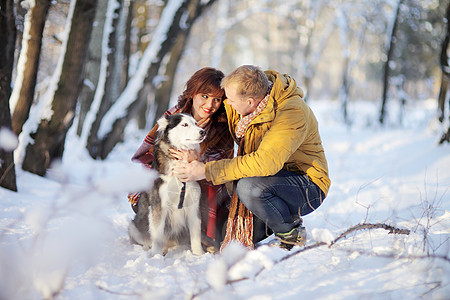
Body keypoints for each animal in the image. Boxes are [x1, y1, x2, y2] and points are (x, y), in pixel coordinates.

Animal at [128, 112, 206, 255]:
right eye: (184, 124)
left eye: (196, 123)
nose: (203, 131)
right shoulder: (159, 205)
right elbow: (157, 233)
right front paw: (155, 255)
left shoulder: (193, 206)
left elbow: (196, 235)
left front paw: (199, 254)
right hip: (133, 227)